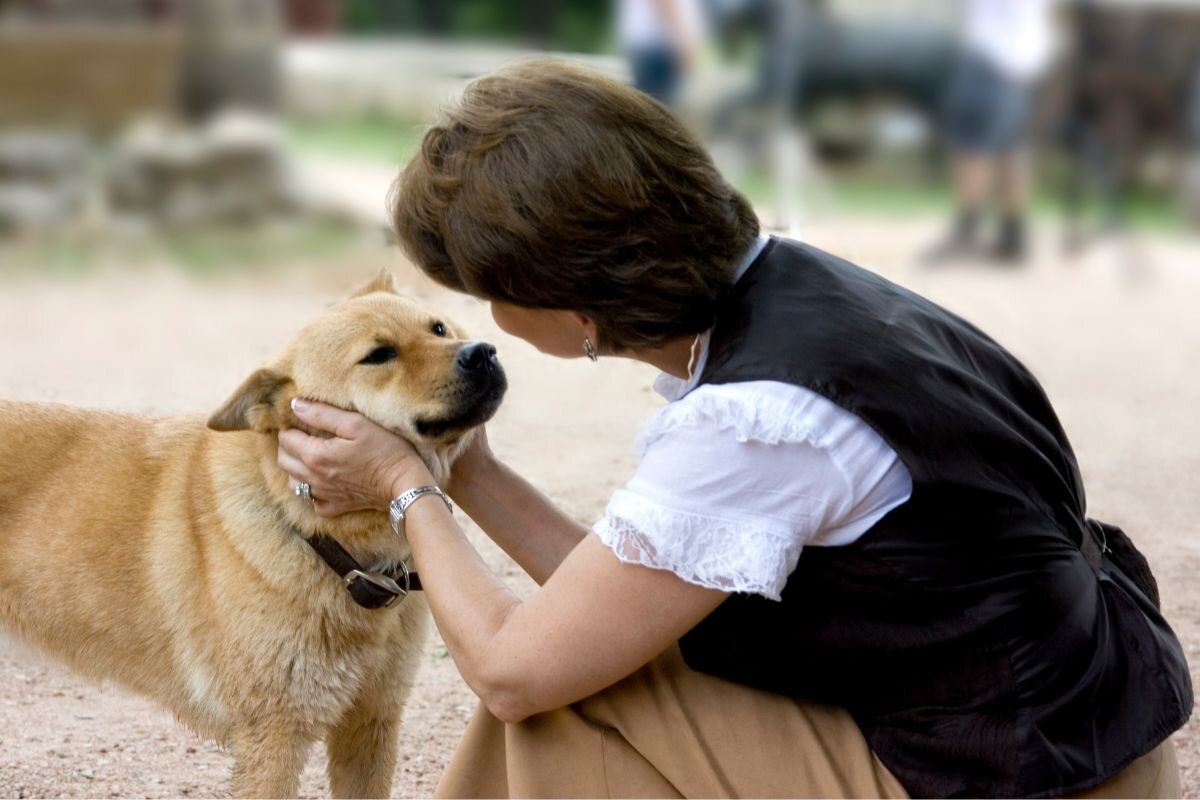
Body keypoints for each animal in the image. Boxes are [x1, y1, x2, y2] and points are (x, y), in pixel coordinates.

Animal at [0, 272, 506, 796]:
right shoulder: (275, 737)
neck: (321, 539)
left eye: (439, 328)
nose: (483, 352)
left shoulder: (371, 722)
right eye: (379, 355)